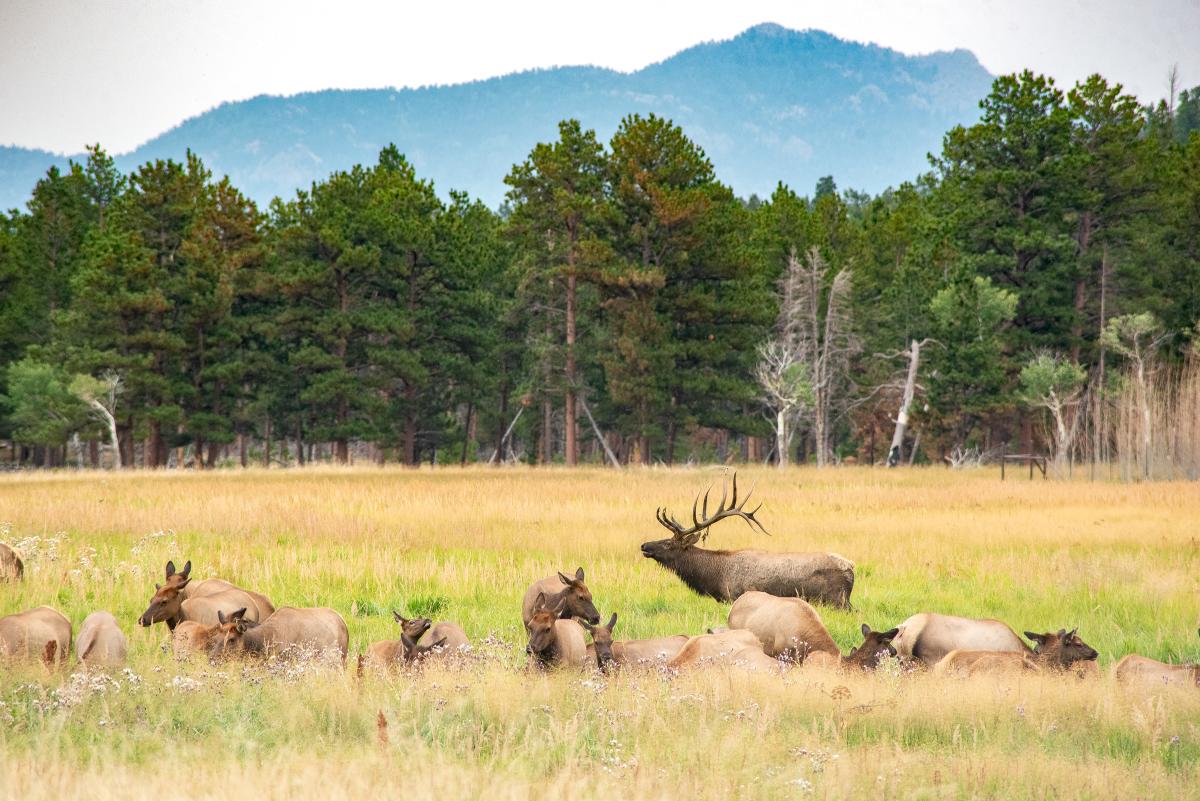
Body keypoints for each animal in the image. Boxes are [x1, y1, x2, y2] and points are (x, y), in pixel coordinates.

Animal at [643, 474, 859, 606]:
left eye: (668, 543)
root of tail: (850, 566)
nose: (644, 545)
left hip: (837, 599)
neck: (716, 577)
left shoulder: (735, 596)